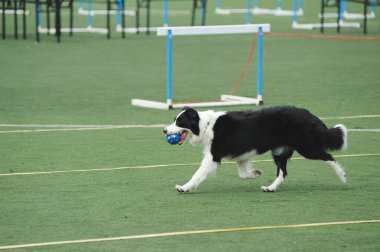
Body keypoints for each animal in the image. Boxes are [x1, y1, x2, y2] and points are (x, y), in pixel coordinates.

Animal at [163, 106, 348, 193]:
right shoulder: (242, 154)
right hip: (279, 151)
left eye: (179, 122)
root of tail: (310, 114)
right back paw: (271, 188)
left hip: (306, 146)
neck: (205, 125)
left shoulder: (213, 156)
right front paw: (257, 173)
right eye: (174, 120)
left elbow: (198, 173)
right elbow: (243, 174)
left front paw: (184, 187)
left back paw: (342, 176)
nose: (164, 130)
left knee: (329, 156)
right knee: (283, 172)